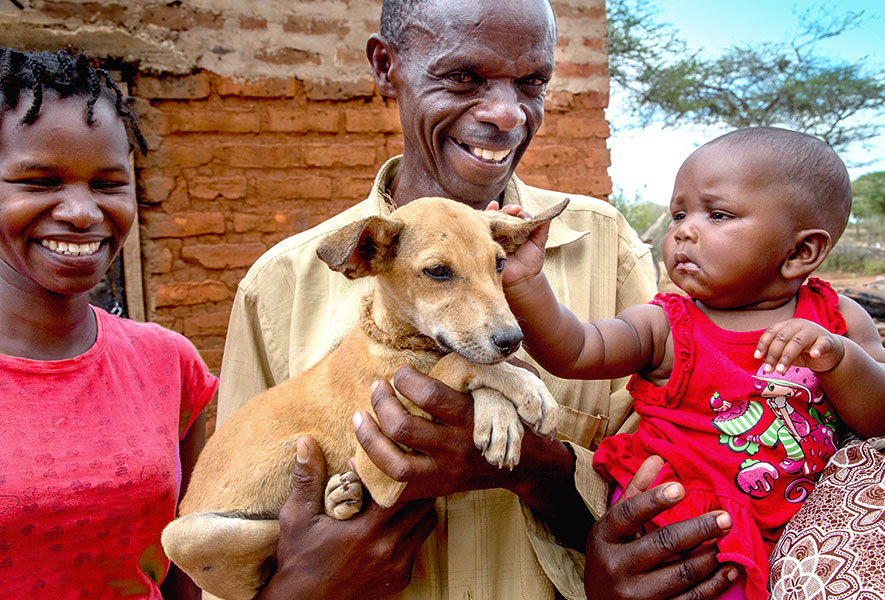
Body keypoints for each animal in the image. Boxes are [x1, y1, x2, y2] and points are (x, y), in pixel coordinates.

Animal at [159, 196, 568, 596]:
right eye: (437, 271)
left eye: (499, 263)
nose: (512, 339)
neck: (397, 341)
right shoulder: (378, 459)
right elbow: (459, 362)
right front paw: (524, 388)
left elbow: (463, 362)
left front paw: (499, 417)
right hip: (185, 536)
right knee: (278, 540)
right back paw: (333, 502)